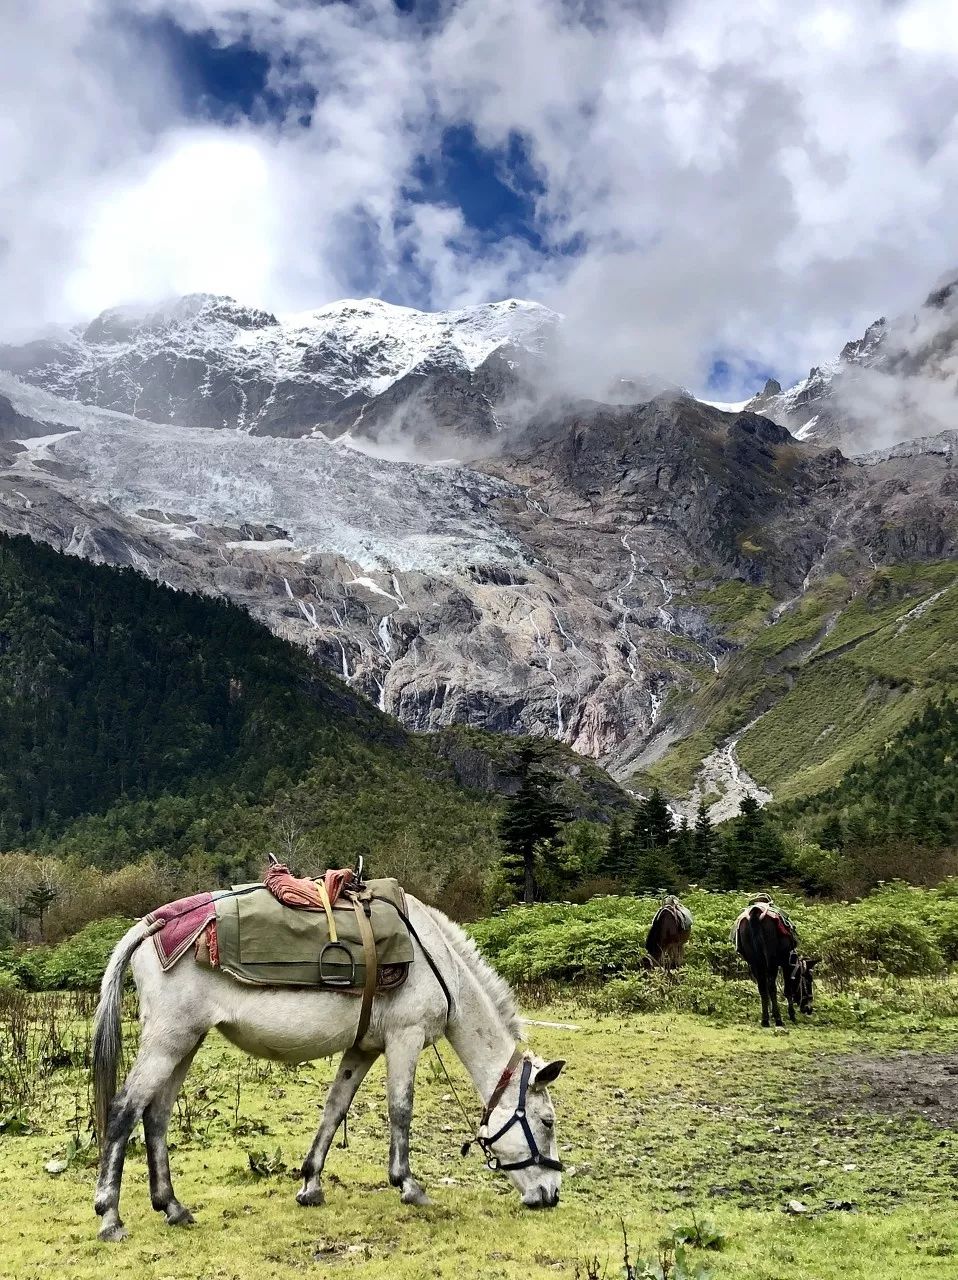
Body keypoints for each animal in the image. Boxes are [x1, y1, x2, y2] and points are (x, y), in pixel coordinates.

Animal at [89, 901, 560, 1239]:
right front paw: (408, 1185)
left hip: (185, 1043)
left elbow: (335, 1109)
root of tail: (151, 926)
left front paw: (311, 1185)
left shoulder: (362, 1049)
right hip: (168, 1041)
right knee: (124, 1110)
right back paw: (110, 1217)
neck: (438, 963)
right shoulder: (404, 1038)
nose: (551, 1195)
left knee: (156, 1115)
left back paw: (172, 1207)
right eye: (548, 1122)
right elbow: (401, 1109)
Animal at [732, 901, 814, 1029]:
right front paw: (791, 1015)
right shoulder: (786, 963)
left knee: (762, 987)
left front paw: (770, 1013)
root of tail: (755, 912)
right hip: (771, 961)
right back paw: (778, 1019)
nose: (809, 1009)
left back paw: (765, 1019)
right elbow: (787, 989)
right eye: (808, 980)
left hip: (756, 962)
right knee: (772, 987)